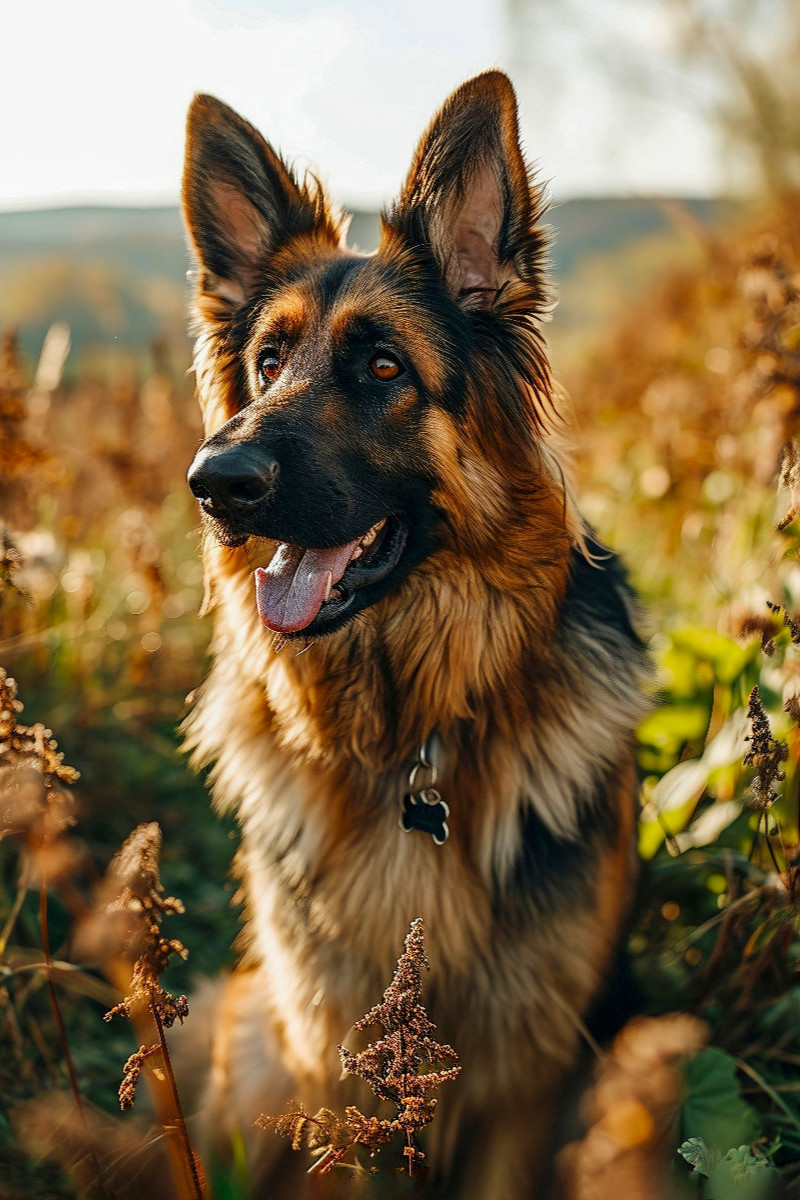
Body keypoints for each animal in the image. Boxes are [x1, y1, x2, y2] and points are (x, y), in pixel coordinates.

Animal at [181, 70, 652, 1195]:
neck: (408, 735)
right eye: (267, 361)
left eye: (386, 367)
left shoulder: (527, 1083)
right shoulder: (335, 1066)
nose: (214, 484)